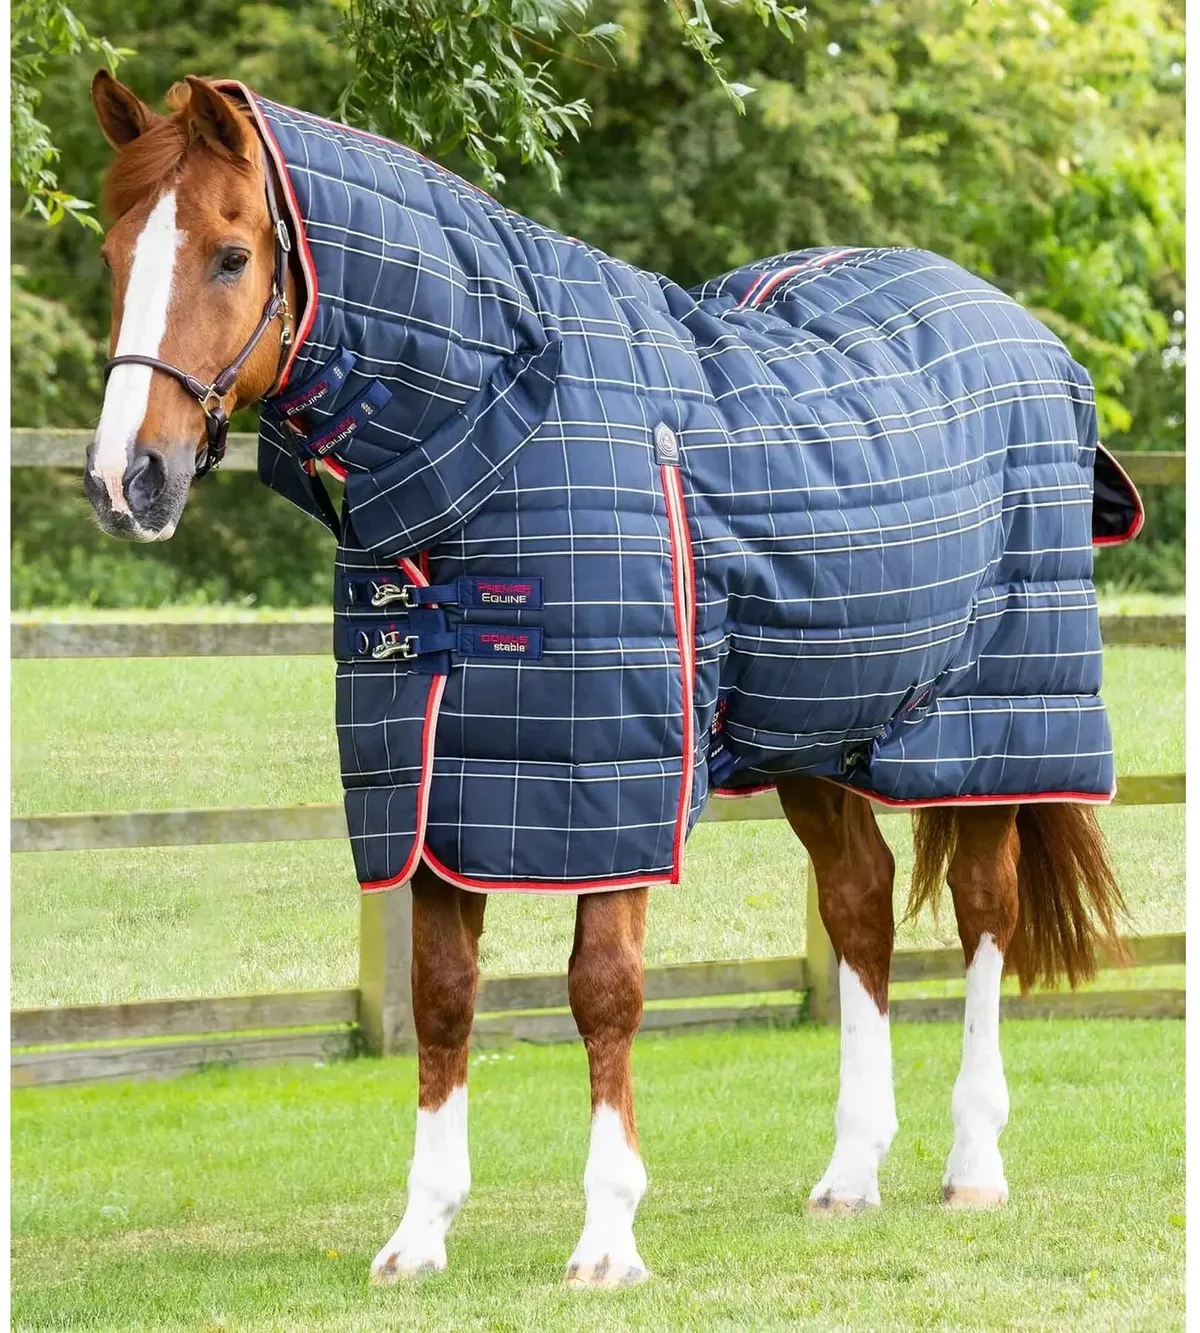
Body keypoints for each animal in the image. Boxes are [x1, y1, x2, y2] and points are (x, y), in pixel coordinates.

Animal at [85, 72, 1131, 1287]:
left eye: (230, 254)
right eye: (116, 251)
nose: (126, 479)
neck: (497, 425)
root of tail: (1032, 340)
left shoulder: (615, 782)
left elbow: (604, 991)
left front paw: (607, 1238)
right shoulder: (440, 777)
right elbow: (441, 996)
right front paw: (418, 1235)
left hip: (997, 723)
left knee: (983, 913)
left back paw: (973, 1167)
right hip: (815, 733)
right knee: (860, 906)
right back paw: (851, 1173)